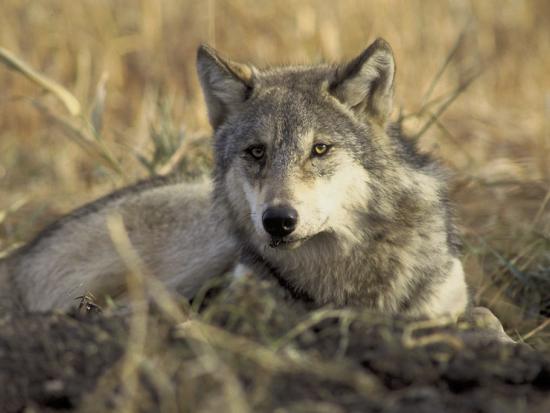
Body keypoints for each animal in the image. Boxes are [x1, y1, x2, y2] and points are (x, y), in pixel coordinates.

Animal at [0, 38, 470, 320]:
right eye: (256, 152)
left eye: (320, 149)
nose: (278, 221)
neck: (341, 277)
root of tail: (18, 258)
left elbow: (475, 317)